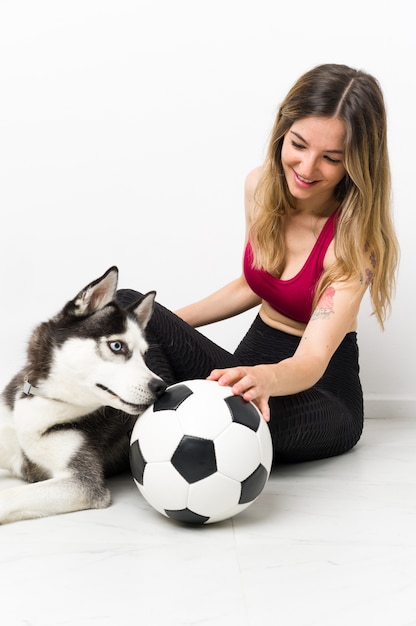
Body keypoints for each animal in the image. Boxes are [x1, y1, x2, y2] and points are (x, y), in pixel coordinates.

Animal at [0, 266, 166, 524]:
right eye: (117, 346)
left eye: (144, 354)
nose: (160, 386)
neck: (46, 399)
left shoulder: (83, 482)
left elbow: (10, 496)